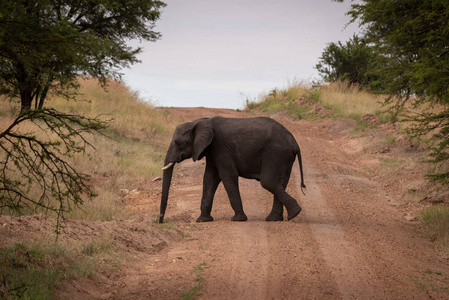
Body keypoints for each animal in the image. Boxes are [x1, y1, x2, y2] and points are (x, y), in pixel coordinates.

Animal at [158, 116, 304, 223]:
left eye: (177, 143)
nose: (161, 221)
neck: (201, 121)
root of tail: (295, 142)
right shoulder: (212, 151)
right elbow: (209, 178)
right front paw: (202, 220)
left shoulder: (221, 148)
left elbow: (228, 176)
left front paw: (238, 219)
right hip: (284, 157)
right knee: (279, 183)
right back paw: (276, 219)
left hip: (276, 153)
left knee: (268, 182)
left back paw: (294, 213)